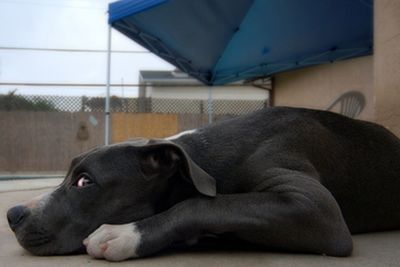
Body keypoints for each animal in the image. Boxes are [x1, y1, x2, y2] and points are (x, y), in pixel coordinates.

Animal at [6, 107, 400, 262]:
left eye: (84, 181)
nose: (12, 214)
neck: (202, 160)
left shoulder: (317, 207)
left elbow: (204, 203)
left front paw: (125, 233)